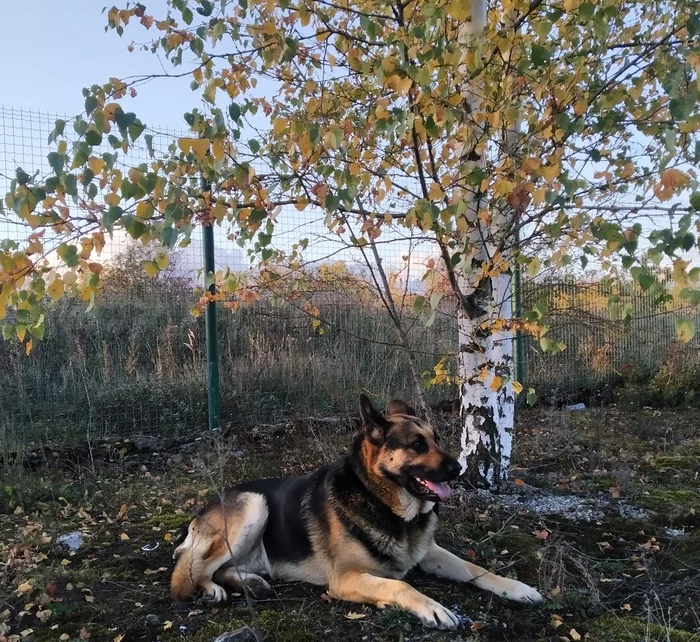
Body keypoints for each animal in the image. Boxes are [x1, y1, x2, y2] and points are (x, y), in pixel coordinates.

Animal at [171, 392, 540, 628]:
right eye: (417, 444)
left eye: (436, 439)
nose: (459, 469)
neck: (384, 504)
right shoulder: (345, 579)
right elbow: (400, 586)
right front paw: (432, 609)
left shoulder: (431, 553)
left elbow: (475, 568)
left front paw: (515, 588)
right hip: (253, 505)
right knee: (189, 574)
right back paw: (212, 590)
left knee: (223, 567)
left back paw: (250, 584)